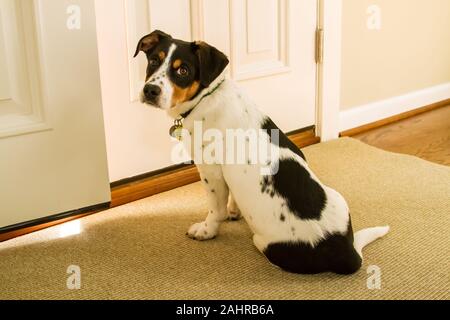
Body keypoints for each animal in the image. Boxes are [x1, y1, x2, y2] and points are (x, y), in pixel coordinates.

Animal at [133, 30, 386, 276]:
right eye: (153, 61)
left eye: (183, 70)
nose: (150, 90)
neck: (206, 97)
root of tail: (345, 251)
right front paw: (234, 211)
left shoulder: (211, 172)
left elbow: (215, 210)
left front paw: (206, 230)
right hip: (338, 197)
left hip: (263, 242)